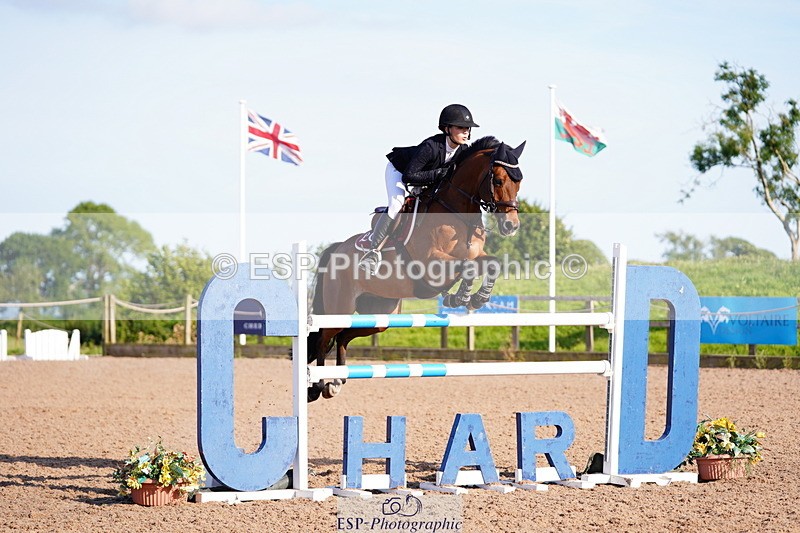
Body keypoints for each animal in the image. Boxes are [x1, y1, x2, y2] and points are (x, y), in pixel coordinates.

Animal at [307, 136, 526, 401]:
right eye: (498, 180)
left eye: (519, 181)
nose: (511, 226)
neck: (458, 214)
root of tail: (338, 248)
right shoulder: (433, 263)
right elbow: (467, 266)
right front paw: (462, 296)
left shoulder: (477, 255)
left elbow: (489, 263)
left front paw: (474, 298)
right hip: (340, 308)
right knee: (324, 338)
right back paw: (318, 386)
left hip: (380, 314)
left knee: (343, 337)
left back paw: (337, 381)